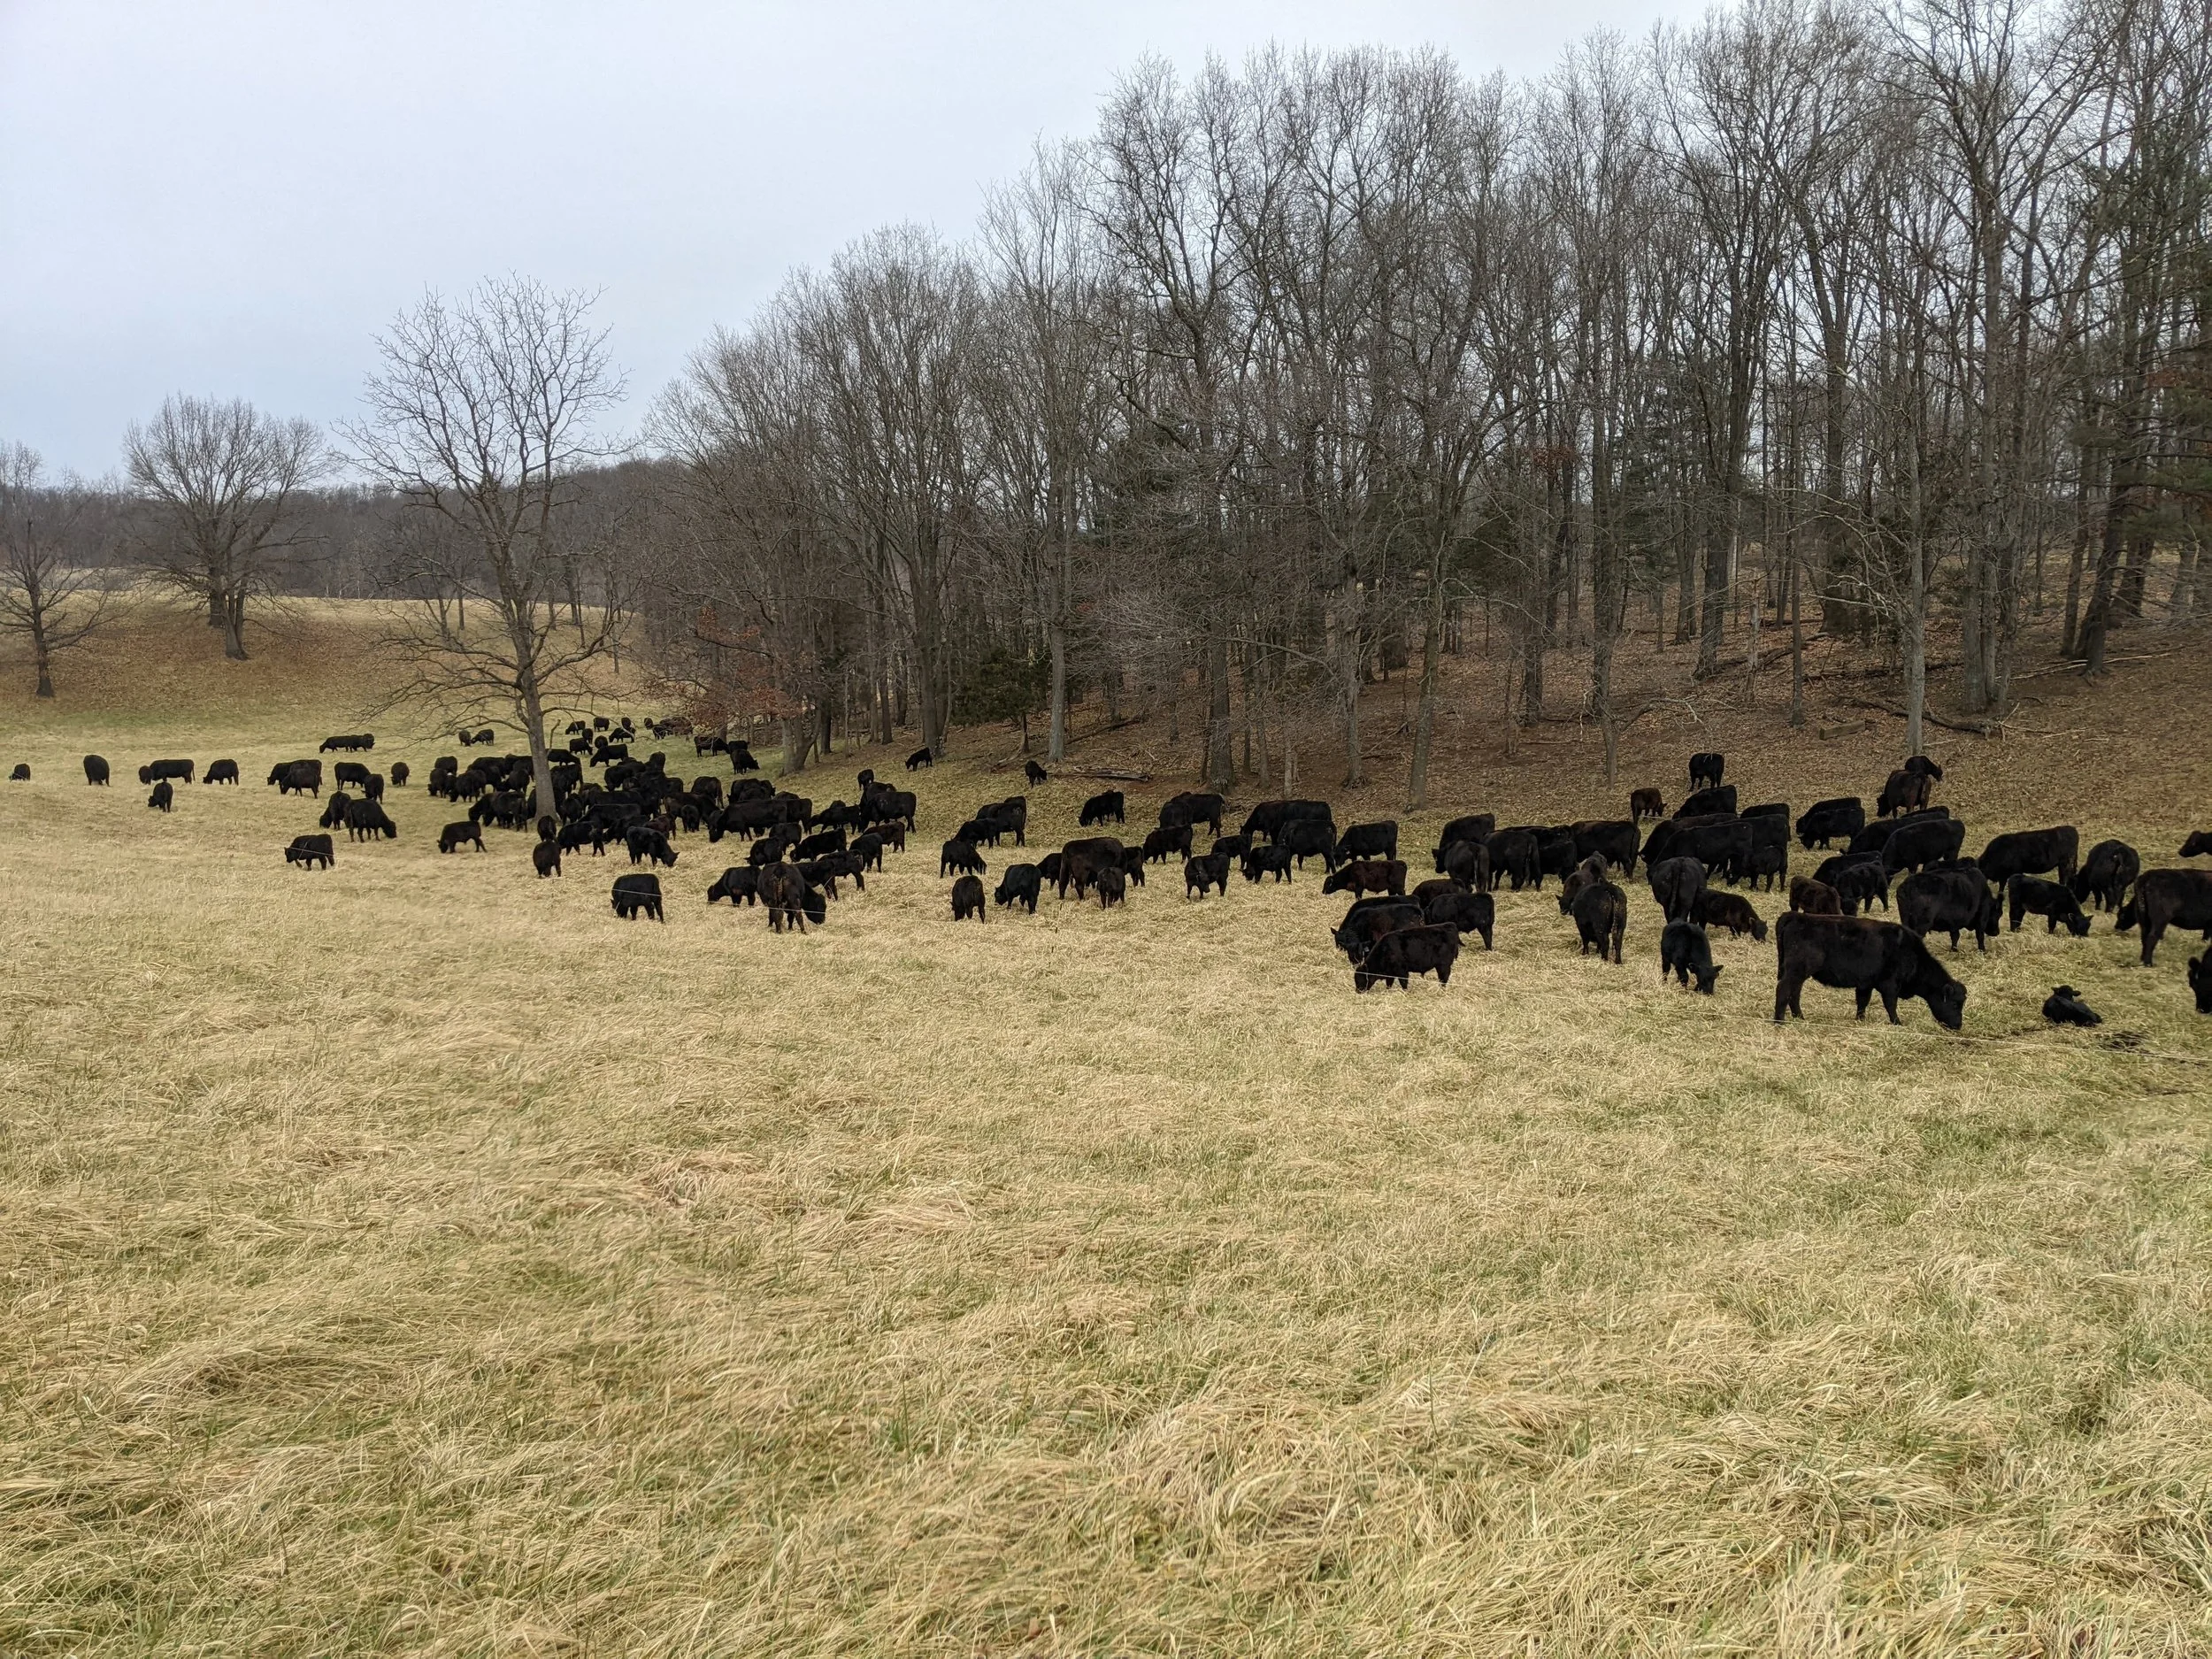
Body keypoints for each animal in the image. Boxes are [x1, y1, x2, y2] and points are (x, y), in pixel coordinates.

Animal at [1773, 912, 1966, 1030]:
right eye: (1955, 1004)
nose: (1958, 1025)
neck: (1911, 954)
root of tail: (1796, 916)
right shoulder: (1889, 985)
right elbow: (1890, 1005)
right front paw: (1897, 1023)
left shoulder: (1865, 984)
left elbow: (1862, 1002)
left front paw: (1860, 1019)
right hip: (1795, 972)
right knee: (1784, 990)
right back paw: (1779, 1022)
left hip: (1798, 974)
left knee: (1795, 993)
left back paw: (1800, 1017)